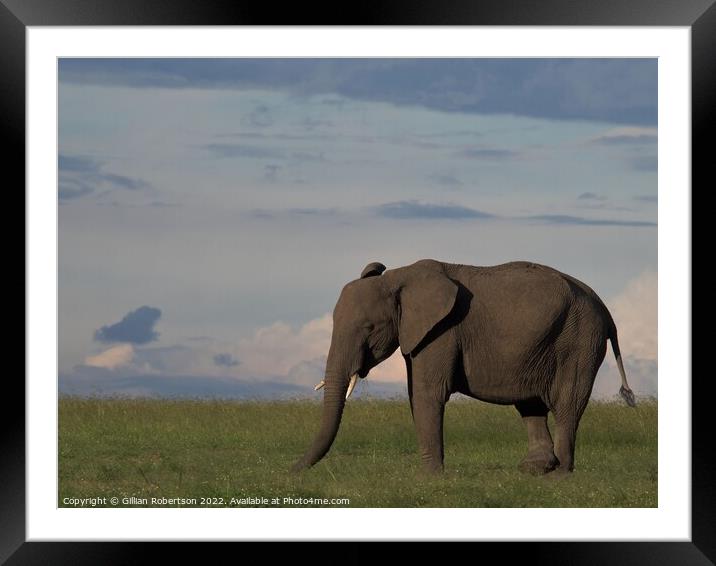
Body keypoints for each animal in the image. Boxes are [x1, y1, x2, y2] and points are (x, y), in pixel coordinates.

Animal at [292, 260, 636, 478]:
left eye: (369, 328)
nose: (290, 470)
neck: (398, 278)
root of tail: (607, 311)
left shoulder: (443, 331)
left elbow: (427, 394)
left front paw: (429, 478)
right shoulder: (420, 333)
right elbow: (416, 394)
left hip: (579, 340)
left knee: (567, 403)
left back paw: (560, 474)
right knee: (531, 404)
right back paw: (535, 470)